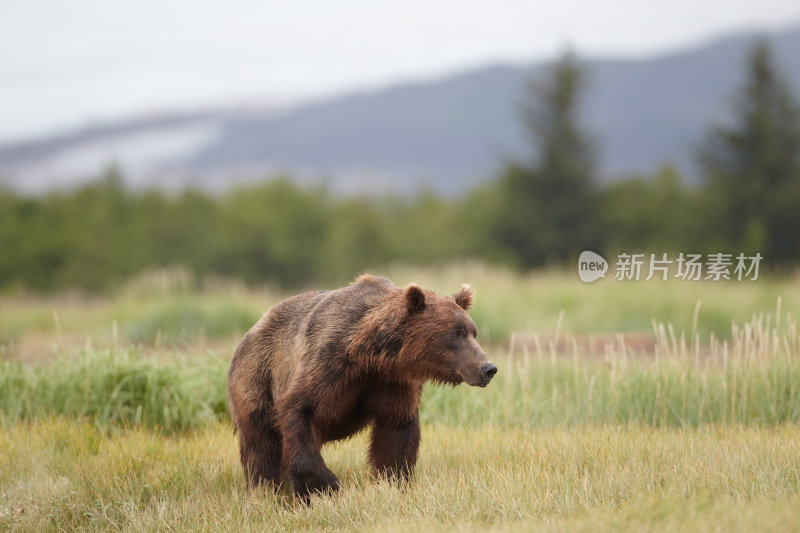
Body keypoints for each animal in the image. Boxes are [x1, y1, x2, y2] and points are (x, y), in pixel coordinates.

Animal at [227, 274, 494, 498]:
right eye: (456, 333)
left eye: (473, 332)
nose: (488, 367)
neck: (371, 356)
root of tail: (249, 333)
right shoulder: (328, 365)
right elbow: (299, 409)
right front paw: (327, 485)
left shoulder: (393, 384)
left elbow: (396, 434)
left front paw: (393, 482)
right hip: (257, 377)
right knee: (261, 446)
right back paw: (265, 490)